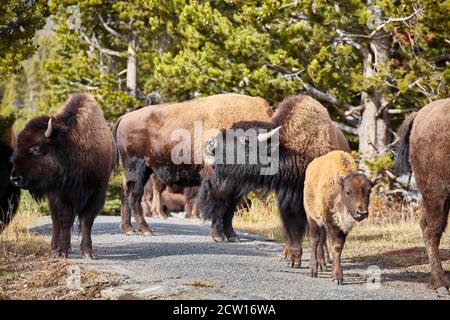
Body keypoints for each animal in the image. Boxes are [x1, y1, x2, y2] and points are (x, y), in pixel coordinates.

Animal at [11, 92, 116, 258]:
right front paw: (61, 251)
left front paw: (87, 252)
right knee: (55, 221)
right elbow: (65, 220)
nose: (15, 178)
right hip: (51, 197)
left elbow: (87, 220)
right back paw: (54, 247)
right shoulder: (62, 193)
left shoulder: (98, 190)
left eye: (36, 148)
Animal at [114, 92, 272, 235]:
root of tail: (124, 118)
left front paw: (232, 236)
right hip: (137, 168)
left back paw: (128, 228)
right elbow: (219, 205)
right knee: (135, 196)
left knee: (126, 193)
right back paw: (146, 229)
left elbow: (230, 209)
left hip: (138, 171)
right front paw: (219, 236)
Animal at [199, 95, 350, 268]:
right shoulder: (287, 199)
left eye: (245, 140)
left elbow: (318, 232)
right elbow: (292, 228)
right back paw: (286, 253)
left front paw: (320, 261)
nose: (211, 144)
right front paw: (293, 259)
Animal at [304, 151, 374, 284]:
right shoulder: (331, 223)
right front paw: (337, 277)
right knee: (315, 240)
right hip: (312, 218)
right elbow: (335, 246)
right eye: (348, 192)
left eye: (369, 192)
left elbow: (339, 248)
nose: (362, 212)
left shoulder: (344, 227)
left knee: (321, 239)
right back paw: (313, 270)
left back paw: (322, 265)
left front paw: (335, 275)